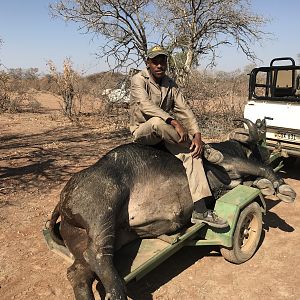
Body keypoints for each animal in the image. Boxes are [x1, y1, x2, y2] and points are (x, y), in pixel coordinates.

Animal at [48, 118, 296, 298]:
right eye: (261, 141)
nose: (269, 151)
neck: (234, 147)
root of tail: (63, 199)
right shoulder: (232, 163)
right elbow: (261, 168)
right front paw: (282, 187)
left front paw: (264, 184)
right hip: (103, 212)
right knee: (98, 255)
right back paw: (117, 292)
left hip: (89, 239)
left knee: (79, 273)